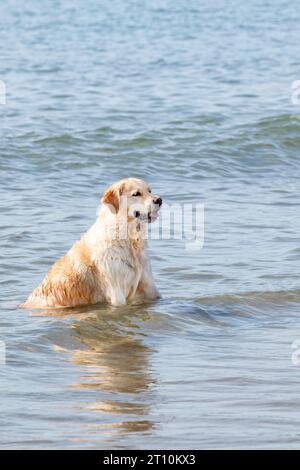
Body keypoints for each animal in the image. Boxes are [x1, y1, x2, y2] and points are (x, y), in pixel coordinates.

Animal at [22, 177, 163, 308]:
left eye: (149, 190)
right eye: (136, 194)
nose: (159, 200)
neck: (128, 238)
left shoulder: (149, 287)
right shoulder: (117, 292)